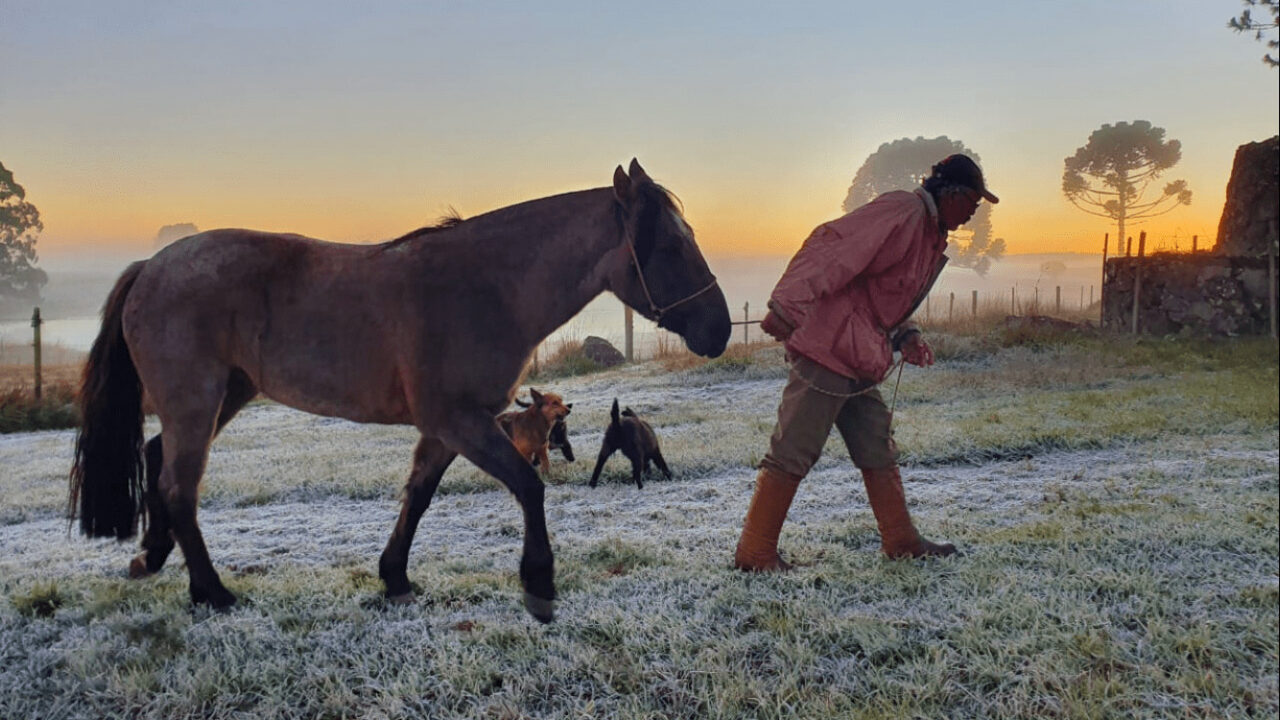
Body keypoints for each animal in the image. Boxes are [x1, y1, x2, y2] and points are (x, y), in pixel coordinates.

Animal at [67, 159, 732, 620]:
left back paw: (154, 557)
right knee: (179, 486)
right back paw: (211, 592)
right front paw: (539, 583)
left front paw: (395, 578)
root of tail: (149, 268)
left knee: (159, 462)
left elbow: (418, 496)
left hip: (224, 396)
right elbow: (529, 486)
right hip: (198, 401)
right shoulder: (461, 421)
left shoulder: (445, 429)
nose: (719, 328)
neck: (485, 286)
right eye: (671, 245)